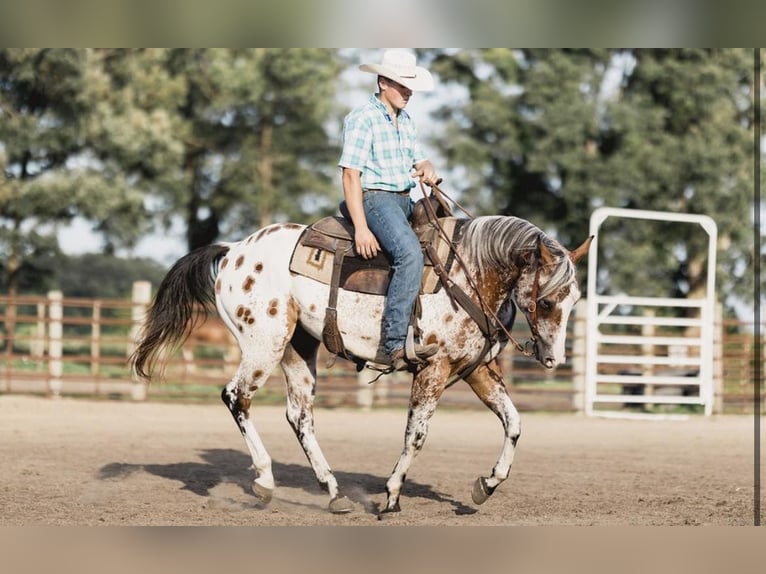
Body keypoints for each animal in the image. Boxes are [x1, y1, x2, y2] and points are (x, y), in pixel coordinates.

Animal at [130, 215, 592, 516]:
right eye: (546, 301)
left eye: (574, 299)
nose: (553, 359)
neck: (469, 272)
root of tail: (234, 251)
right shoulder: (434, 369)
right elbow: (416, 436)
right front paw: (391, 496)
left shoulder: (474, 370)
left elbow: (513, 423)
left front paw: (487, 485)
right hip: (264, 344)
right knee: (236, 397)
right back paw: (264, 481)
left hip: (298, 348)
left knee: (299, 416)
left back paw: (334, 493)